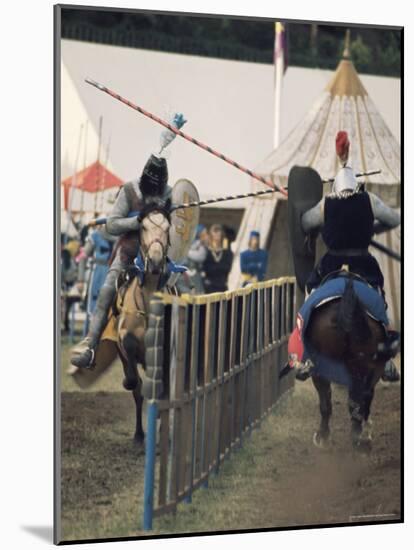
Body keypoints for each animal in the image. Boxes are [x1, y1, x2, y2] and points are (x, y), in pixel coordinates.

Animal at [308, 278, 392, 454]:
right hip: (366, 368)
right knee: (359, 399)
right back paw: (360, 438)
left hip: (322, 369)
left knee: (328, 402)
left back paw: (325, 436)